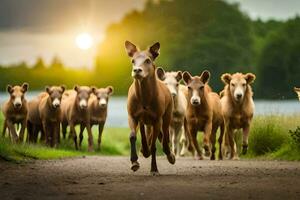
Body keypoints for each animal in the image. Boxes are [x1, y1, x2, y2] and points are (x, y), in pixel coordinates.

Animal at [125, 40, 176, 175]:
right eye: (133, 60)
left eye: (148, 60)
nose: (137, 70)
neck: (144, 98)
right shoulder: (132, 115)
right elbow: (132, 136)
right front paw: (134, 162)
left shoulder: (157, 118)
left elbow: (154, 146)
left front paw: (154, 169)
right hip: (144, 120)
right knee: (145, 133)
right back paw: (144, 150)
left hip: (167, 114)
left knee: (165, 136)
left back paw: (170, 155)